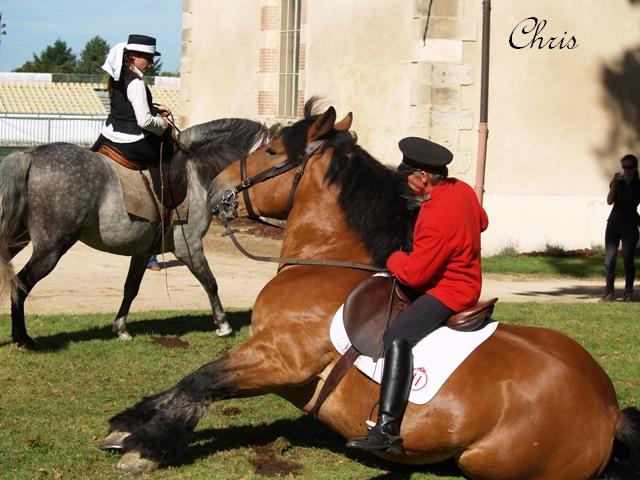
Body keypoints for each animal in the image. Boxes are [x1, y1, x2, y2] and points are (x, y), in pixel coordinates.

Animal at [0, 116, 268, 348]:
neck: (194, 171)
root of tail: (29, 155)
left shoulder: (143, 251)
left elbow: (131, 288)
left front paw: (120, 329)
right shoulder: (189, 247)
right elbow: (210, 282)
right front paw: (223, 325)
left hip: (18, 239)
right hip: (51, 249)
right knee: (20, 284)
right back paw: (23, 339)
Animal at [100, 99, 640, 478]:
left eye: (271, 151)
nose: (216, 190)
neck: (320, 264)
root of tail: (608, 410)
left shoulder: (281, 361)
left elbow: (201, 380)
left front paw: (145, 447)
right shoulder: (266, 356)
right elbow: (189, 380)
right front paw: (127, 424)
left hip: (487, 460)